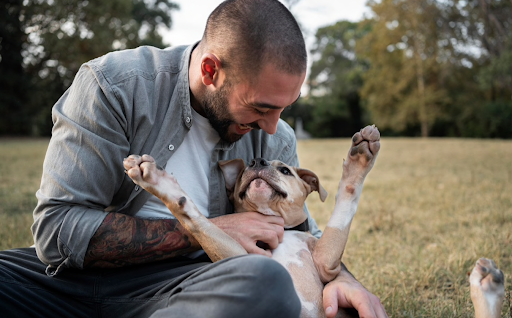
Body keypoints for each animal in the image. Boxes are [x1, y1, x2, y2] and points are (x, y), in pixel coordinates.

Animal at [123, 125, 380, 316]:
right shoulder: (237, 254)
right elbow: (197, 220)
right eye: (247, 166)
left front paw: (360, 157)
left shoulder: (325, 263)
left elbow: (345, 201)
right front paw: (157, 181)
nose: (257, 161)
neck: (284, 231)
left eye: (285, 170)